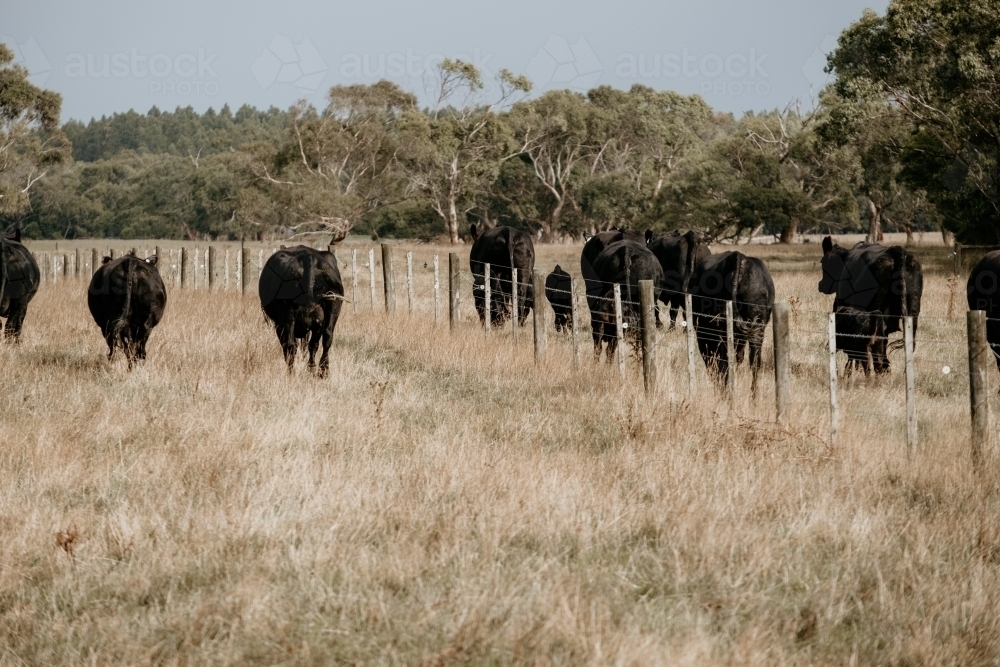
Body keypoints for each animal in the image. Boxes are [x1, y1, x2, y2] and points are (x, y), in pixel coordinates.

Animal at [260, 247, 346, 380]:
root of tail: (307, 256)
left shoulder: (279, 324)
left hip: (288, 317)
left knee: (291, 345)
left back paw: (291, 372)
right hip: (332, 308)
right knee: (325, 339)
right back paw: (322, 371)